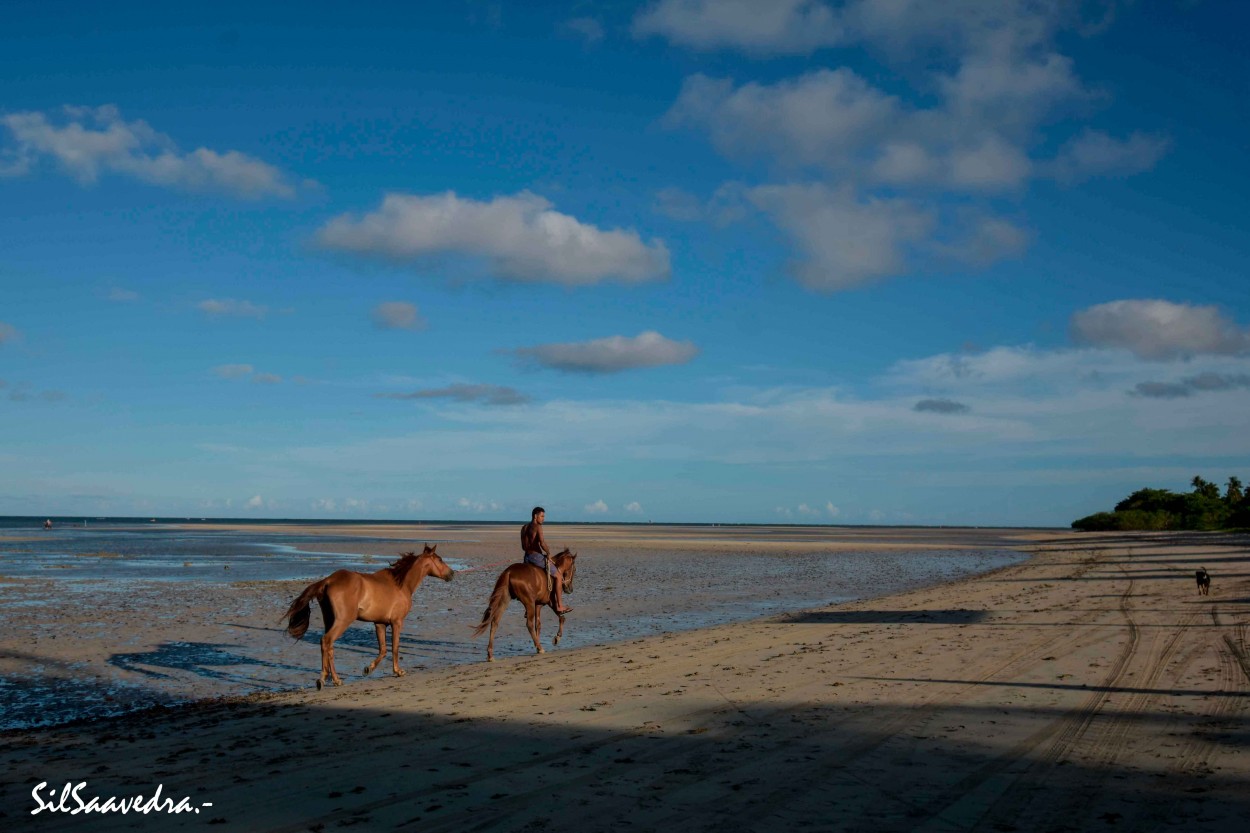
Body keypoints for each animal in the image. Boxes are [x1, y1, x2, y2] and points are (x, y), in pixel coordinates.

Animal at [283, 542, 455, 685]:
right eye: (440, 559)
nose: (452, 573)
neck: (401, 584)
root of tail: (328, 581)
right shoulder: (397, 622)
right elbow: (395, 647)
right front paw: (398, 671)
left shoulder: (380, 623)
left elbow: (383, 650)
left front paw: (368, 669)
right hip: (343, 621)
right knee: (327, 642)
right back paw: (336, 679)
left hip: (329, 620)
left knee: (325, 644)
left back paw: (323, 678)